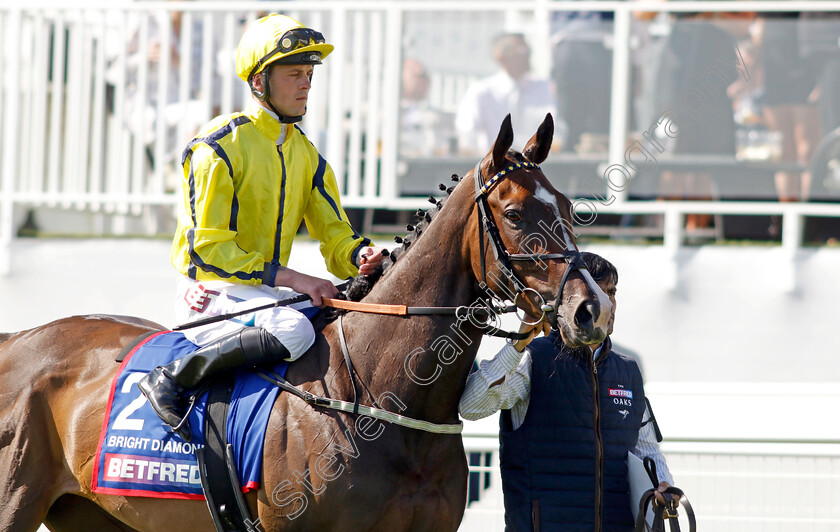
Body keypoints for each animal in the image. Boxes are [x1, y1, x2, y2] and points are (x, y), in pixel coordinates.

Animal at [0, 113, 612, 532]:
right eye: (514, 213)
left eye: (566, 205)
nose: (592, 309)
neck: (380, 396)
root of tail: (18, 337)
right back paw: (164, 389)